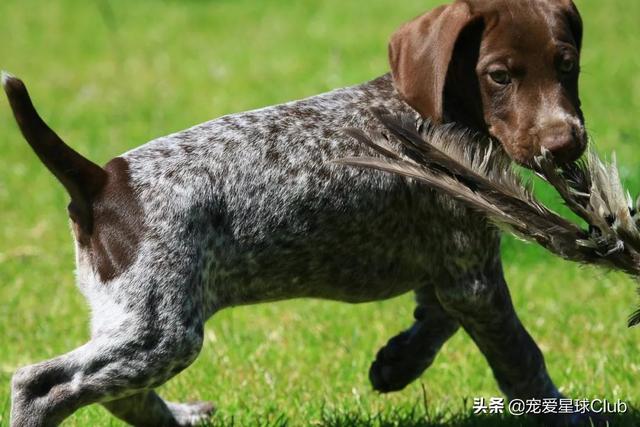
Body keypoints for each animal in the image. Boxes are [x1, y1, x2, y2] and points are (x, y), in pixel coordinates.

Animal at [3, 1, 592, 426]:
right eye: (499, 76)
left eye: (567, 66)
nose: (565, 143)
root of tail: (102, 181)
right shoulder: (472, 275)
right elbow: (519, 356)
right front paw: (561, 412)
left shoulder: (455, 267)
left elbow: (437, 318)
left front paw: (397, 363)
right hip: (163, 330)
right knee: (42, 385)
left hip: (132, 318)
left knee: (115, 393)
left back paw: (180, 418)